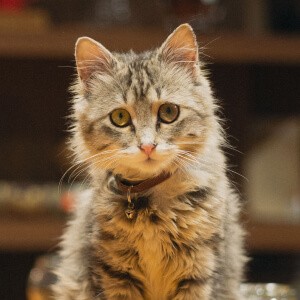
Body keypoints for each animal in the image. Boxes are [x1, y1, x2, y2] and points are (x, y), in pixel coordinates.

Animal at [52, 24, 246, 300]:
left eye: (169, 112)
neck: (150, 200)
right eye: (119, 117)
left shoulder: (201, 270)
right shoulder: (113, 274)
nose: (147, 146)